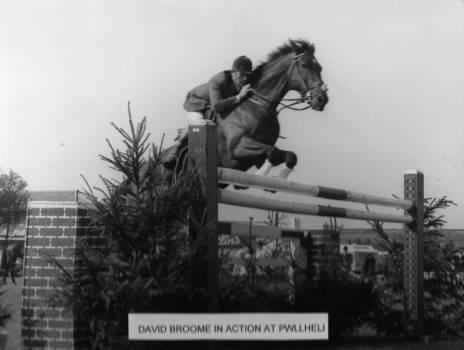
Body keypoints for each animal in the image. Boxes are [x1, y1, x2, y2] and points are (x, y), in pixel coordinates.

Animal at [165, 39, 328, 179]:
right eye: (305, 65)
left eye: (320, 68)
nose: (322, 99)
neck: (259, 104)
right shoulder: (237, 147)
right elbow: (273, 152)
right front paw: (261, 176)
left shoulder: (258, 154)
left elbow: (290, 156)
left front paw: (277, 179)